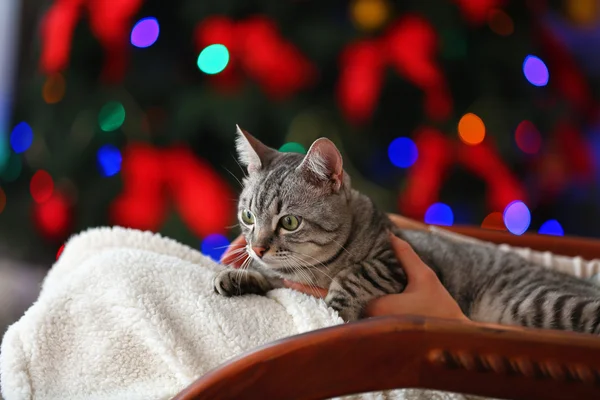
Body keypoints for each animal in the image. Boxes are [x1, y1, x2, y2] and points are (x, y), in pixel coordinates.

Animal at [212, 126, 600, 332]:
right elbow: (272, 278)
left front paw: (336, 308)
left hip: (537, 302)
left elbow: (354, 276)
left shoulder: (392, 263)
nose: (257, 247)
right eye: (248, 217)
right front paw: (236, 276)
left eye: (289, 222)